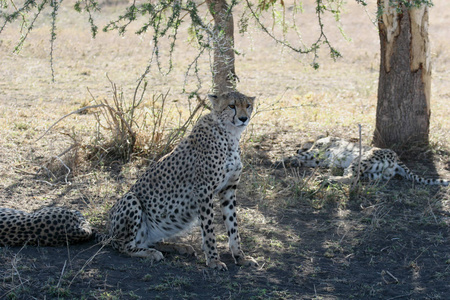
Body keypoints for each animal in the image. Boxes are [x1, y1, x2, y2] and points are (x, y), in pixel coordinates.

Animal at [97, 91, 260, 270]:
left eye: (248, 106)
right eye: (231, 105)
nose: (243, 118)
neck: (230, 135)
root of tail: (108, 231)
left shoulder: (228, 190)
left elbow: (233, 227)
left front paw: (240, 257)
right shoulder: (204, 190)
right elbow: (209, 229)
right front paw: (213, 260)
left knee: (149, 242)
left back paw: (179, 247)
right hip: (130, 199)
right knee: (123, 245)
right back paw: (151, 253)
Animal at [284, 136, 448, 185]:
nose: (298, 148)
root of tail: (396, 158)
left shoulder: (316, 153)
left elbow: (299, 156)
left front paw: (285, 159)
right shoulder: (319, 159)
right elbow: (303, 159)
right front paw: (294, 161)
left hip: (360, 159)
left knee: (351, 176)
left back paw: (327, 178)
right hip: (375, 173)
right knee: (357, 178)